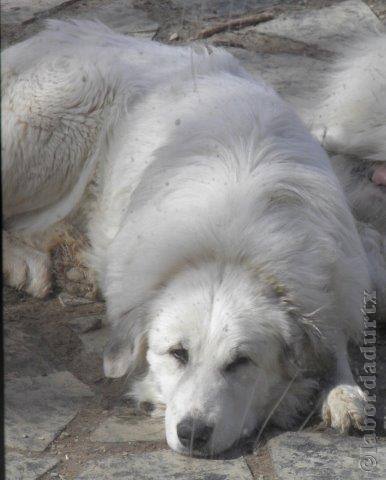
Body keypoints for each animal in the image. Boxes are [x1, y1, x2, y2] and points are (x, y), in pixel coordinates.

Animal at [3, 20, 386, 456]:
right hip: (49, 142)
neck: (231, 246)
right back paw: (28, 264)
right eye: (178, 354)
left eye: (240, 362)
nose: (192, 434)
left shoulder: (330, 280)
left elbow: (333, 341)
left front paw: (344, 393)